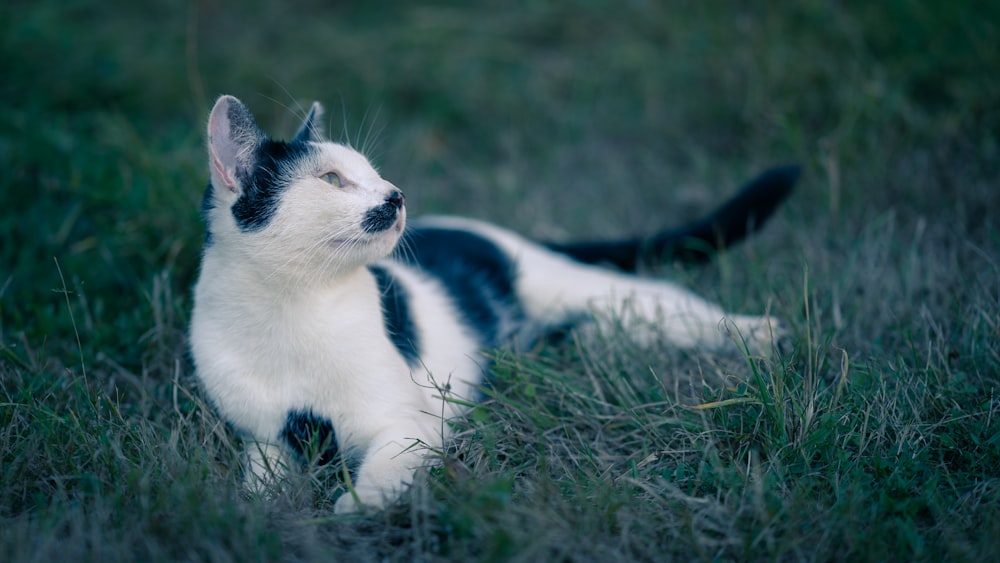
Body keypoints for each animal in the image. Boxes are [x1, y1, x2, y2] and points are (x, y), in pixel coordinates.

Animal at [189, 94, 796, 512]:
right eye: (333, 180)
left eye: (373, 173)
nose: (396, 195)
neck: (292, 311)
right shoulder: (265, 441)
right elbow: (262, 486)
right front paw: (256, 515)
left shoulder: (405, 425)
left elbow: (380, 477)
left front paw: (354, 510)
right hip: (592, 326)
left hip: (594, 294)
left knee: (669, 302)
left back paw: (762, 333)